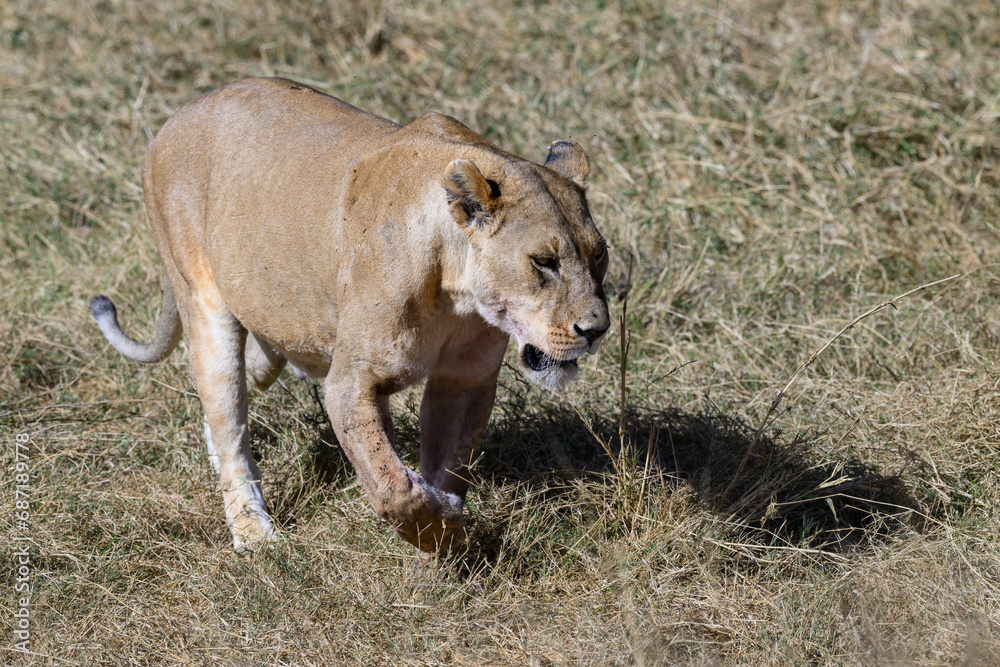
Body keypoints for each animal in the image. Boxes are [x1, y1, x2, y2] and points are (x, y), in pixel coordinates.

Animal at [91, 77, 610, 553]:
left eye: (599, 255)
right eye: (544, 261)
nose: (597, 329)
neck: (457, 294)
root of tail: (179, 114)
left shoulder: (464, 381)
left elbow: (444, 464)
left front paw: (444, 547)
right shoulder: (351, 381)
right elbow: (394, 489)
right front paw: (441, 529)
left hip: (273, 329)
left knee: (238, 394)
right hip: (204, 304)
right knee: (228, 417)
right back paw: (255, 536)